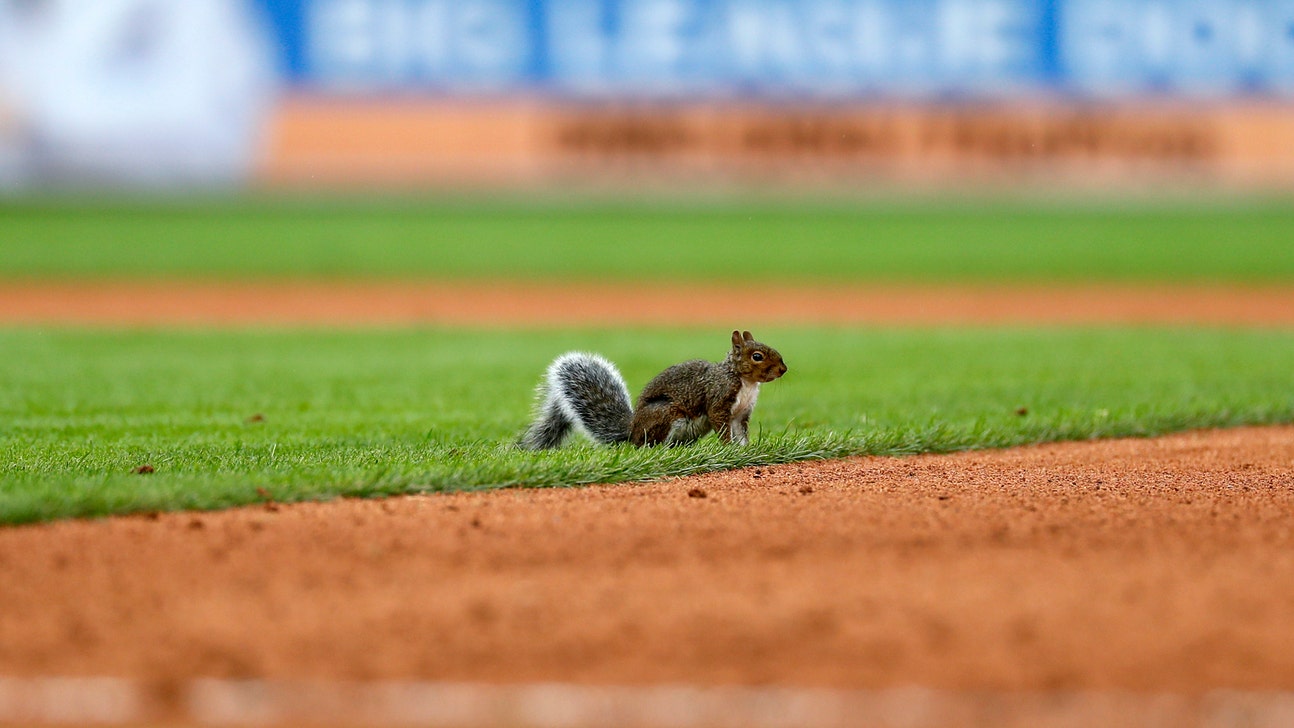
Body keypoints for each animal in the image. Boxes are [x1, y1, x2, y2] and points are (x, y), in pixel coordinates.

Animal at [519, 330, 787, 449]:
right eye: (757, 356)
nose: (783, 369)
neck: (745, 382)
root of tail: (633, 430)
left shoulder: (742, 413)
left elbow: (741, 431)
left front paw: (745, 448)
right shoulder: (719, 399)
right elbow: (721, 425)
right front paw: (728, 447)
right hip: (666, 414)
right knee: (650, 444)